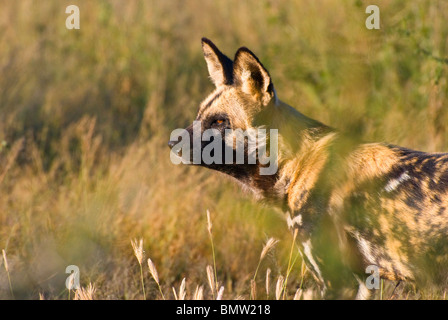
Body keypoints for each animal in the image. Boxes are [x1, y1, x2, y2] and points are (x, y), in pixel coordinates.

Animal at [168, 38, 448, 298]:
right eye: (198, 115)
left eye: (219, 121)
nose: (172, 142)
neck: (295, 163)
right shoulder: (363, 282)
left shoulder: (337, 281)